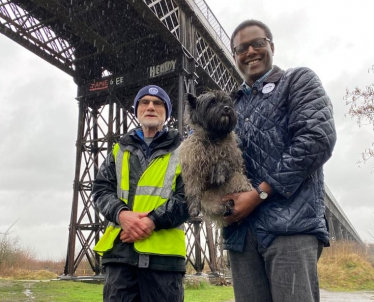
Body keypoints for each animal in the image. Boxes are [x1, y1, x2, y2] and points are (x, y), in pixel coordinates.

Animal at [178, 91, 251, 225]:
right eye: (212, 102)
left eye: (227, 102)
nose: (227, 108)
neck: (213, 137)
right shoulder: (192, 169)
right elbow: (193, 189)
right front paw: (194, 208)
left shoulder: (235, 161)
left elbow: (223, 162)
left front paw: (219, 174)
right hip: (209, 203)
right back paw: (227, 207)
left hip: (237, 179)